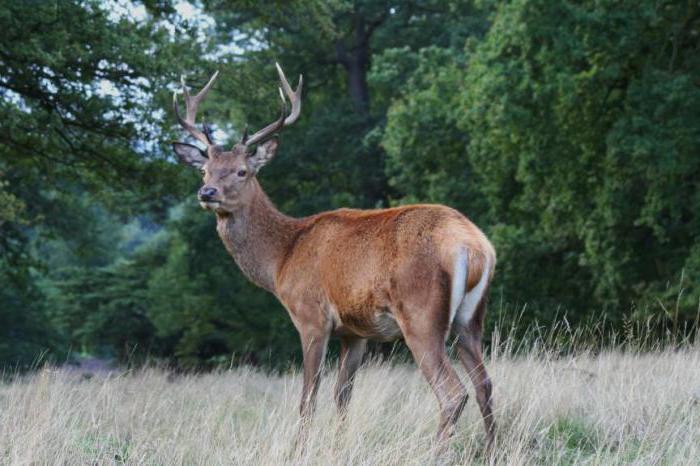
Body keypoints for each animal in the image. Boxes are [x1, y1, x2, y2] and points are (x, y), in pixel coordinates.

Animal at [170, 63, 498, 454]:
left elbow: (308, 396)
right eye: (204, 169)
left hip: (421, 314)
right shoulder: (354, 332)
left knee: (452, 391)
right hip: (470, 319)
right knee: (484, 385)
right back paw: (495, 450)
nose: (207, 193)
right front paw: (338, 446)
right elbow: (343, 395)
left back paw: (434, 453)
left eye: (242, 171)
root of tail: (474, 246)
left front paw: (299, 449)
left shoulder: (311, 316)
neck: (281, 260)